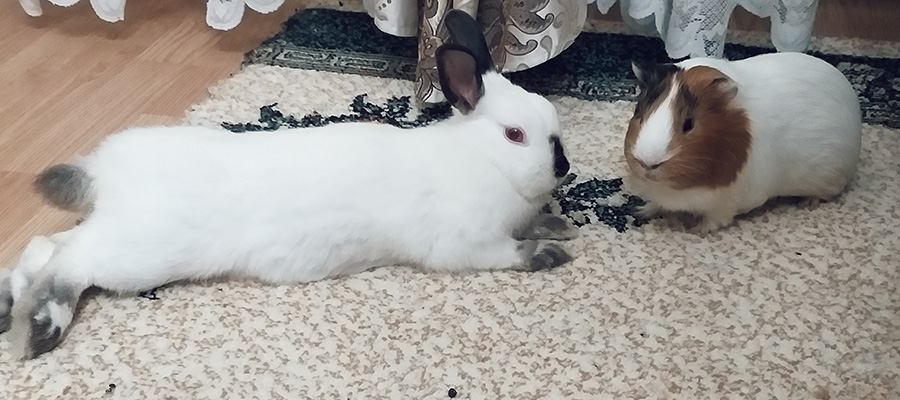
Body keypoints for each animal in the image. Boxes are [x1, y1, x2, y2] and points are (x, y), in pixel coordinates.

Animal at [0, 10, 576, 359]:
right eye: (516, 135)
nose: (563, 169)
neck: (480, 159)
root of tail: (105, 173)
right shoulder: (465, 245)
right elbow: (507, 253)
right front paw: (550, 254)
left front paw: (560, 226)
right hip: (140, 252)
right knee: (70, 263)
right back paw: (41, 329)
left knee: (46, 246)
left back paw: (12, 308)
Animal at [624, 52, 862, 234]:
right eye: (640, 114)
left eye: (689, 124)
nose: (648, 163)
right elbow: (656, 204)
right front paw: (640, 211)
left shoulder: (724, 204)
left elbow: (714, 221)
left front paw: (695, 230)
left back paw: (807, 203)